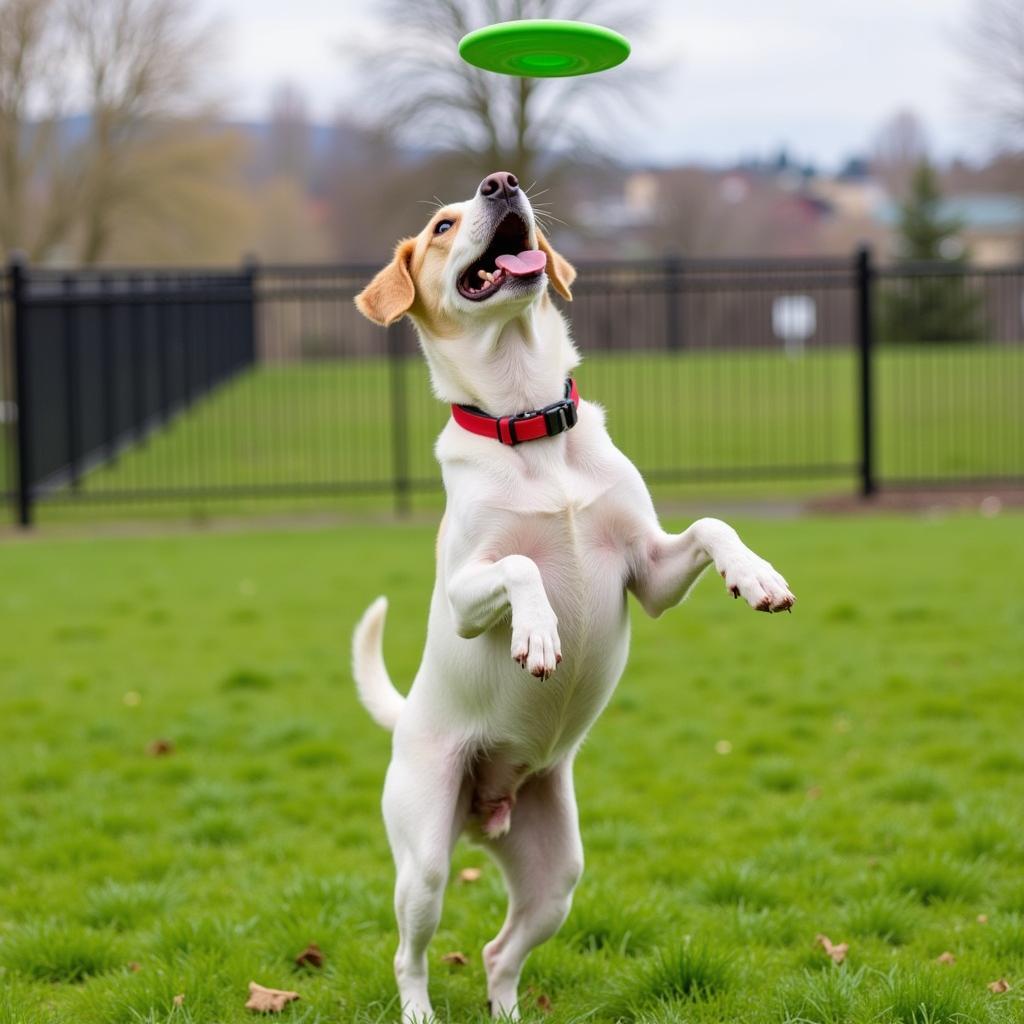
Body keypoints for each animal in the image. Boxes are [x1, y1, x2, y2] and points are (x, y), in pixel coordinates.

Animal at [350, 172, 790, 1019]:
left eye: (491, 193)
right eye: (442, 225)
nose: (501, 182)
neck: (530, 424)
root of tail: (484, 811)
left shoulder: (649, 573)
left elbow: (711, 524)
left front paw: (756, 576)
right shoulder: (463, 597)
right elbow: (521, 568)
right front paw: (540, 634)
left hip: (557, 875)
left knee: (498, 954)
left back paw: (508, 1008)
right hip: (424, 857)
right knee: (408, 953)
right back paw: (418, 1007)